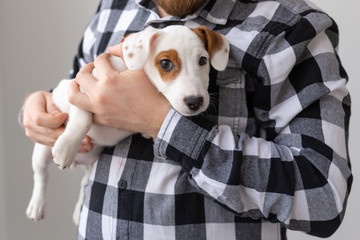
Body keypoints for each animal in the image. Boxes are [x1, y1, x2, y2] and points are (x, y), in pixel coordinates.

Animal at [25, 25, 229, 224]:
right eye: (165, 63)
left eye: (203, 60)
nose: (195, 102)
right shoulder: (80, 90)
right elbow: (83, 120)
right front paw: (67, 147)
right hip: (41, 153)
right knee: (41, 175)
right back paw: (37, 204)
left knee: (84, 183)